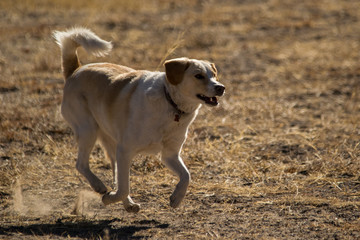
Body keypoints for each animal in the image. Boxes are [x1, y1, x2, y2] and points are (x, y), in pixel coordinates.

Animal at [52, 27, 225, 213]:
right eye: (198, 76)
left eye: (214, 75)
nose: (221, 87)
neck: (170, 103)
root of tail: (75, 70)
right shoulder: (125, 150)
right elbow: (124, 187)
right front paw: (108, 199)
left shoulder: (169, 154)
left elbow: (186, 175)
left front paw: (176, 198)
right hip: (88, 130)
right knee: (82, 164)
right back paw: (99, 186)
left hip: (111, 144)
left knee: (112, 176)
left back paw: (128, 204)